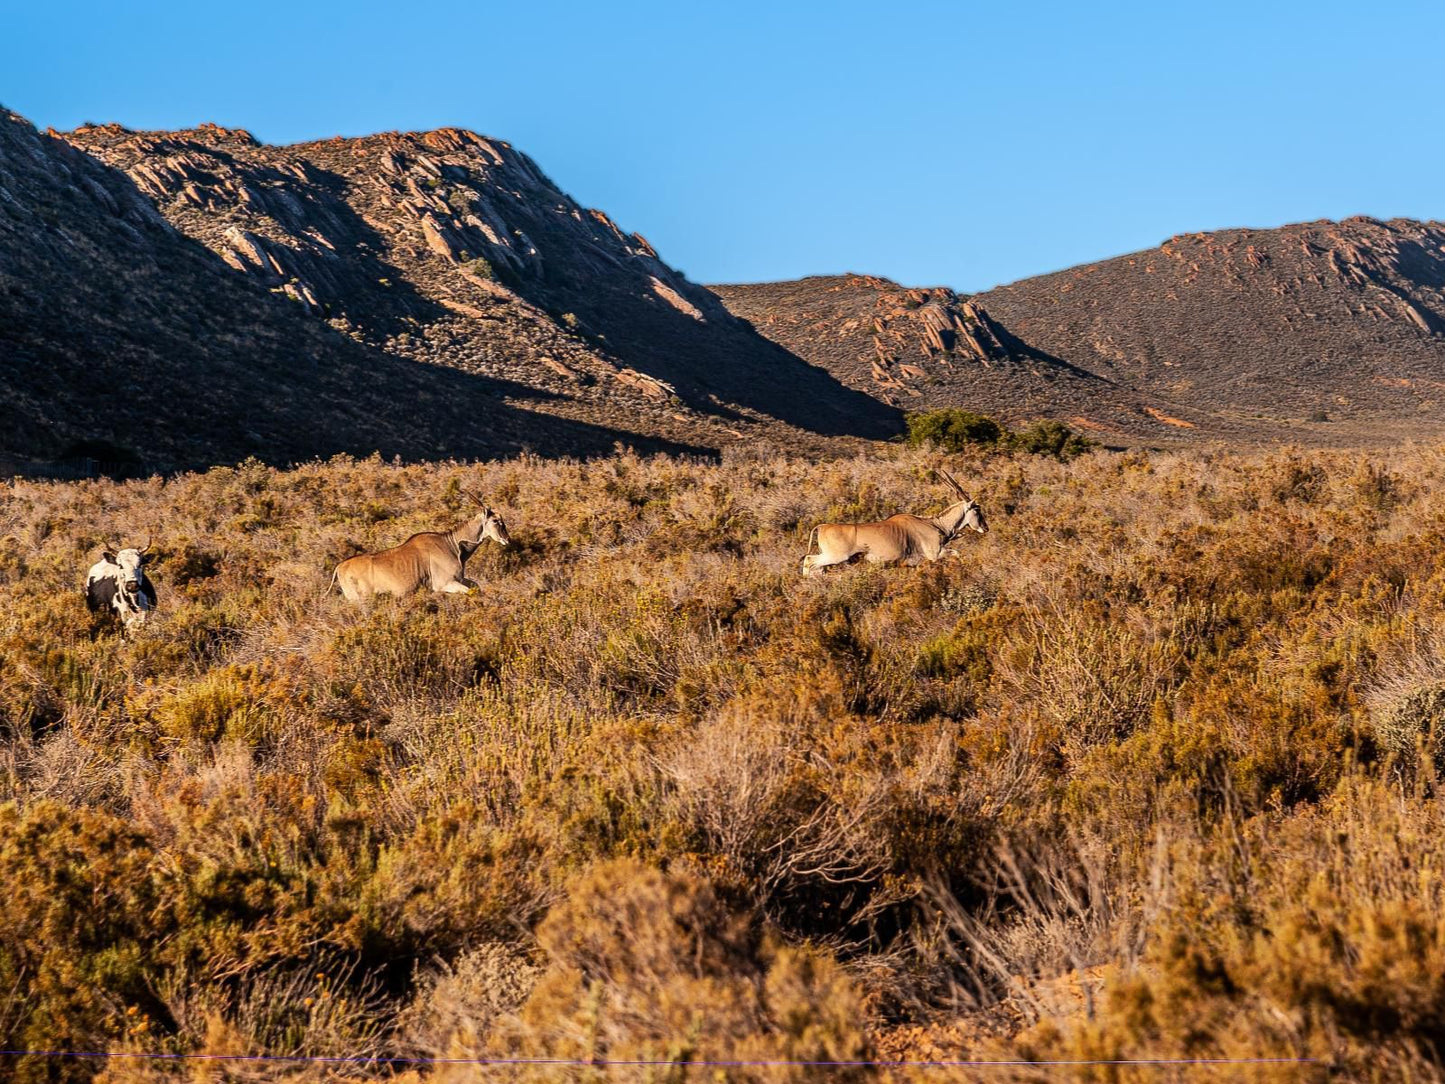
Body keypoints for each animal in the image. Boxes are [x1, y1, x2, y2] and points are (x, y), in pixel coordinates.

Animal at [330, 491, 511, 604]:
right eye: (496, 521)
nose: (507, 539)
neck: (452, 544)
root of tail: (339, 567)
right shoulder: (445, 584)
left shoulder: (459, 580)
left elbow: (477, 587)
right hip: (360, 600)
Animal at [797, 474, 988, 581]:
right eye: (977, 510)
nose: (985, 528)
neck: (935, 524)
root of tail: (822, 526)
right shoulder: (936, 555)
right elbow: (957, 554)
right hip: (836, 557)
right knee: (810, 561)